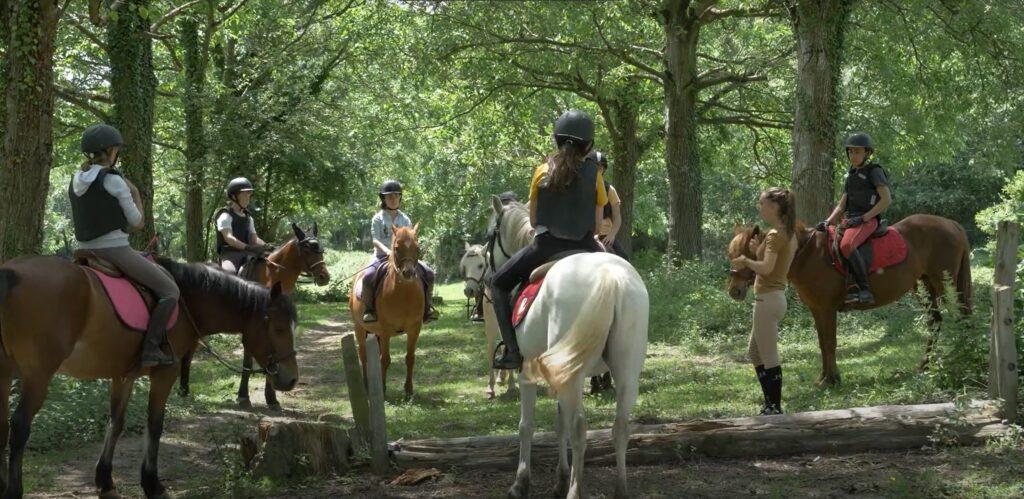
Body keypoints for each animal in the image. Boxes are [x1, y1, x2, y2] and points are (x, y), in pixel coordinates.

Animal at [0, 256, 299, 497]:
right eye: (280, 328)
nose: (292, 379)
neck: (186, 298)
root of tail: (11, 273)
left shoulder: (123, 376)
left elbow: (116, 423)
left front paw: (105, 481)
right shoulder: (165, 373)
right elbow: (154, 424)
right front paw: (152, 483)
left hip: (5, 376)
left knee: (3, 425)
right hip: (37, 378)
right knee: (19, 427)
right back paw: (14, 490)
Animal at [177, 222, 327, 409]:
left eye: (321, 249)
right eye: (307, 249)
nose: (324, 276)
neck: (272, 276)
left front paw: (271, 398)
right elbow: (249, 361)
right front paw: (243, 396)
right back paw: (183, 391)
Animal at [460, 241, 516, 397]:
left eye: (480, 265)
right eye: (465, 266)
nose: (469, 291)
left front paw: (512, 386)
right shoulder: (491, 323)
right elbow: (491, 349)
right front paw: (491, 386)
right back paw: (501, 376)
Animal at [491, 197, 651, 497]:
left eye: (490, 235)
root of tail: (609, 276)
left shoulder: (527, 374)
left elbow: (527, 426)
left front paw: (521, 482)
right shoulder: (559, 374)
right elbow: (559, 424)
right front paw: (560, 478)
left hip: (574, 375)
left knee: (579, 428)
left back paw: (575, 491)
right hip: (625, 372)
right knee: (620, 427)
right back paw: (620, 489)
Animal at [724, 215, 970, 387]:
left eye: (747, 255)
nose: (734, 291)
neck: (808, 255)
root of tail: (950, 223)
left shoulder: (827, 309)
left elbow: (830, 343)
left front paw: (832, 379)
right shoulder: (817, 310)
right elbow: (823, 343)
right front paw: (825, 377)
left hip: (944, 285)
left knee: (960, 318)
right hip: (925, 287)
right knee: (935, 322)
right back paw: (925, 365)